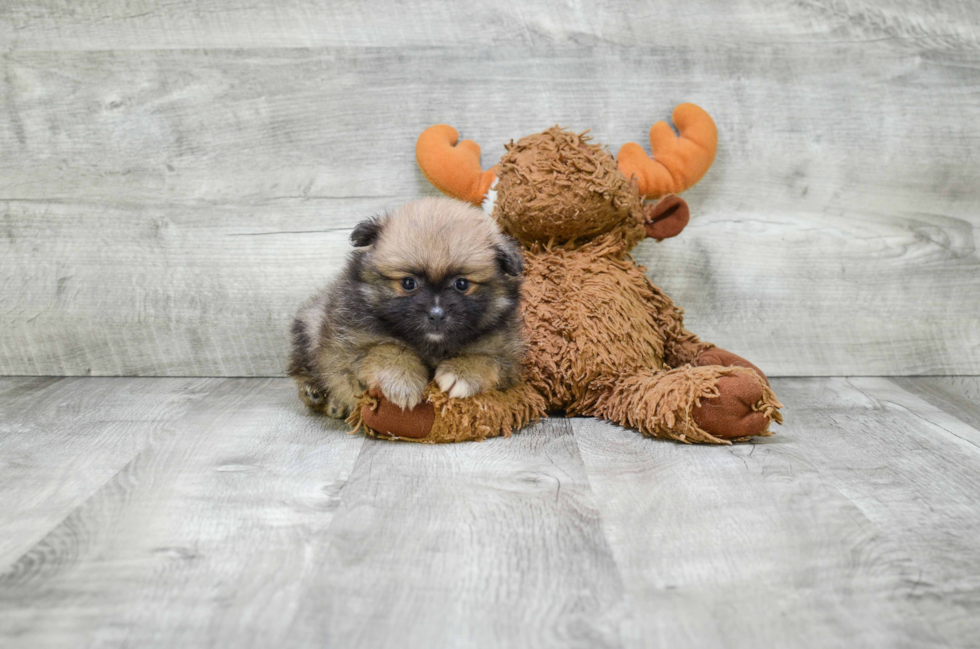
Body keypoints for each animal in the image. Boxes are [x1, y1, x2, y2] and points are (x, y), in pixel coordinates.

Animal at [288, 195, 524, 418]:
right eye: (408, 283)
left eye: (462, 284)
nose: (436, 315)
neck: (431, 345)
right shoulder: (347, 346)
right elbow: (387, 348)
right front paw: (403, 380)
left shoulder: (510, 358)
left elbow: (487, 359)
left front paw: (461, 372)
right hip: (311, 325)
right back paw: (316, 393)